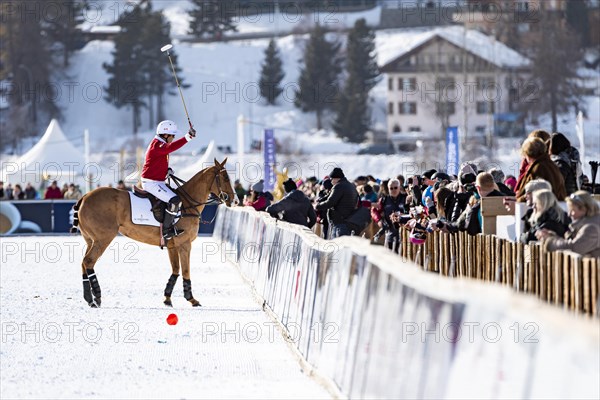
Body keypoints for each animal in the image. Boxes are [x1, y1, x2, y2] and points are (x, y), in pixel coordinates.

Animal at [72, 158, 234, 308]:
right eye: (226, 178)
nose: (233, 200)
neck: (188, 204)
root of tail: (84, 197)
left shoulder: (172, 245)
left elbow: (176, 270)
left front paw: (167, 298)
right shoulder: (184, 243)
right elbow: (186, 270)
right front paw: (192, 299)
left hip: (90, 240)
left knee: (83, 263)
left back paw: (89, 298)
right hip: (103, 238)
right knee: (89, 261)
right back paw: (97, 297)